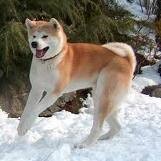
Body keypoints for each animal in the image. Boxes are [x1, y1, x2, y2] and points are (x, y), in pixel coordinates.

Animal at [17, 17, 136, 148]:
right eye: (33, 36)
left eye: (45, 36)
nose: (34, 43)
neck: (50, 61)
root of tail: (126, 60)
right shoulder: (36, 90)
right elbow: (27, 110)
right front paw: (21, 127)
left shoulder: (54, 93)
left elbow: (35, 109)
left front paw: (26, 126)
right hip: (101, 98)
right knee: (117, 127)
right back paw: (103, 138)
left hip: (104, 98)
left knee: (98, 127)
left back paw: (85, 144)